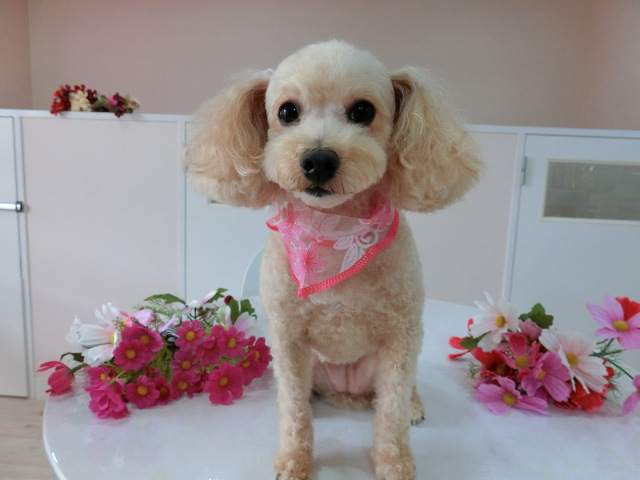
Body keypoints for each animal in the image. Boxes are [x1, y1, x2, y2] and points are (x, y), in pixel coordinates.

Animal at [185, 40, 482, 480]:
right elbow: (293, 409)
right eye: (287, 112)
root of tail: (347, 394)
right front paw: (294, 460)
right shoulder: (288, 338)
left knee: (402, 390)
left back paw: (413, 405)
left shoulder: (401, 334)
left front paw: (394, 463)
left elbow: (391, 412)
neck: (334, 232)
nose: (319, 160)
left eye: (363, 111)